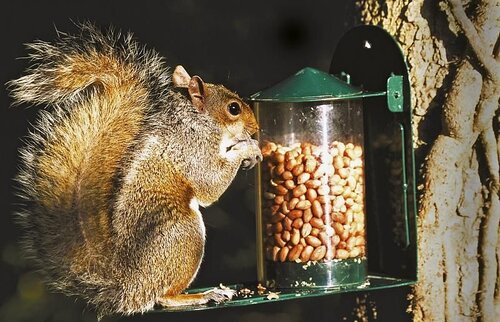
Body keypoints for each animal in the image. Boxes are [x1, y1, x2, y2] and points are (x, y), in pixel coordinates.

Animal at [8, 23, 262, 316]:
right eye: (233, 108)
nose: (256, 128)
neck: (196, 121)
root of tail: (126, 286)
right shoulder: (191, 149)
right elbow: (208, 184)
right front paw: (248, 148)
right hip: (182, 234)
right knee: (162, 296)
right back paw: (202, 295)